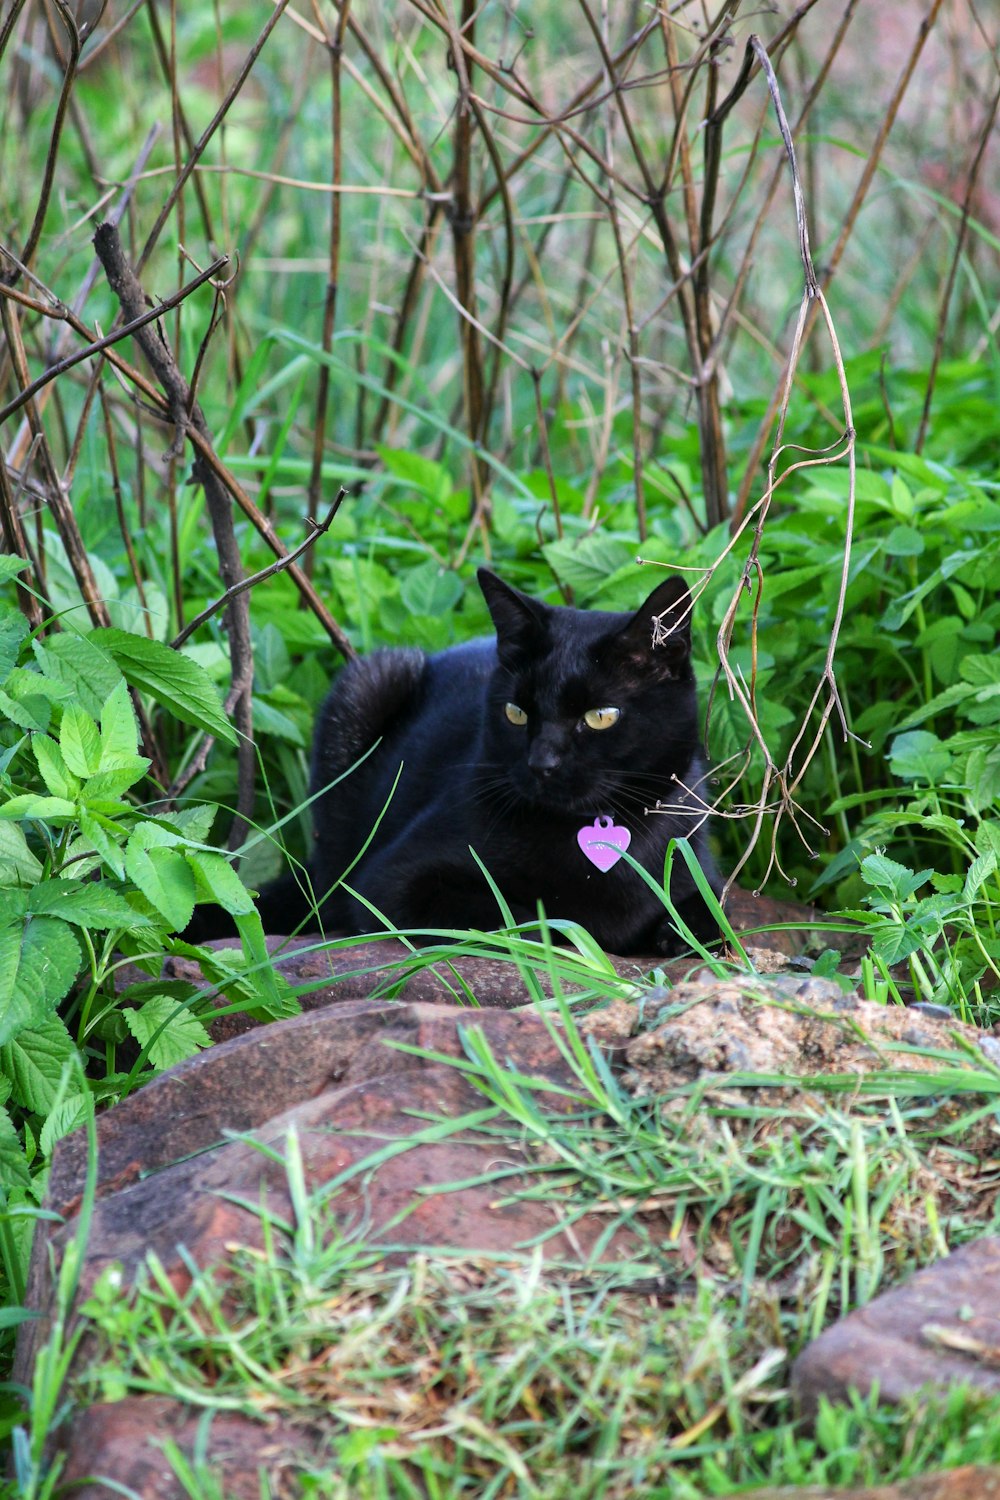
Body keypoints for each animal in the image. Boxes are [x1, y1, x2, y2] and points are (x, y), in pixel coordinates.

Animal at [262, 567, 719, 954]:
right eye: (516, 713)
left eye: (601, 716)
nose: (541, 763)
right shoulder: (389, 883)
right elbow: (514, 916)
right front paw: (565, 931)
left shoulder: (698, 866)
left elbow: (711, 916)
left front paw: (676, 933)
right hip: (370, 680)